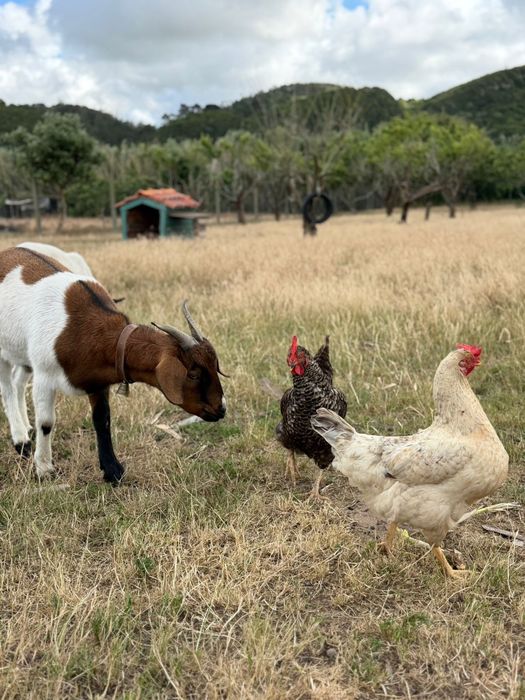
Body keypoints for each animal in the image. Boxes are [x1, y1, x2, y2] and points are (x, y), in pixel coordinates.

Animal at [0, 246, 226, 482]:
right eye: (193, 374)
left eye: (215, 366)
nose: (221, 409)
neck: (82, 329)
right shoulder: (44, 376)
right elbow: (46, 423)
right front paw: (44, 469)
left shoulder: (97, 381)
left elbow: (102, 419)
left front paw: (112, 470)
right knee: (7, 389)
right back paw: (21, 441)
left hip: (22, 354)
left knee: (17, 382)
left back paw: (27, 429)